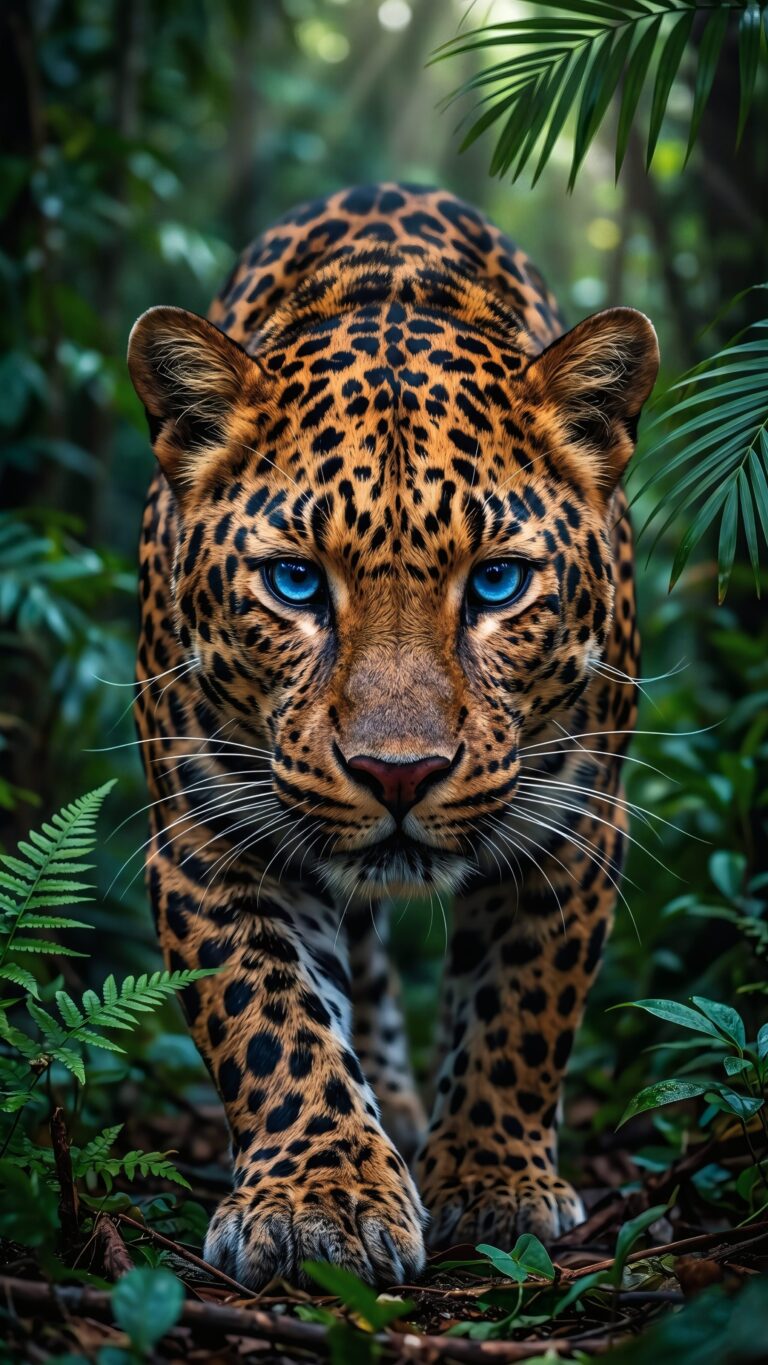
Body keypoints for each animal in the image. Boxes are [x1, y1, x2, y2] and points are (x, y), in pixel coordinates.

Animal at [128, 182, 658, 1289]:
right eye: (295, 582)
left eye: (497, 583)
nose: (398, 775)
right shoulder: (208, 836)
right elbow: (270, 1016)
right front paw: (319, 1195)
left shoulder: (574, 825)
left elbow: (521, 1008)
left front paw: (494, 1179)